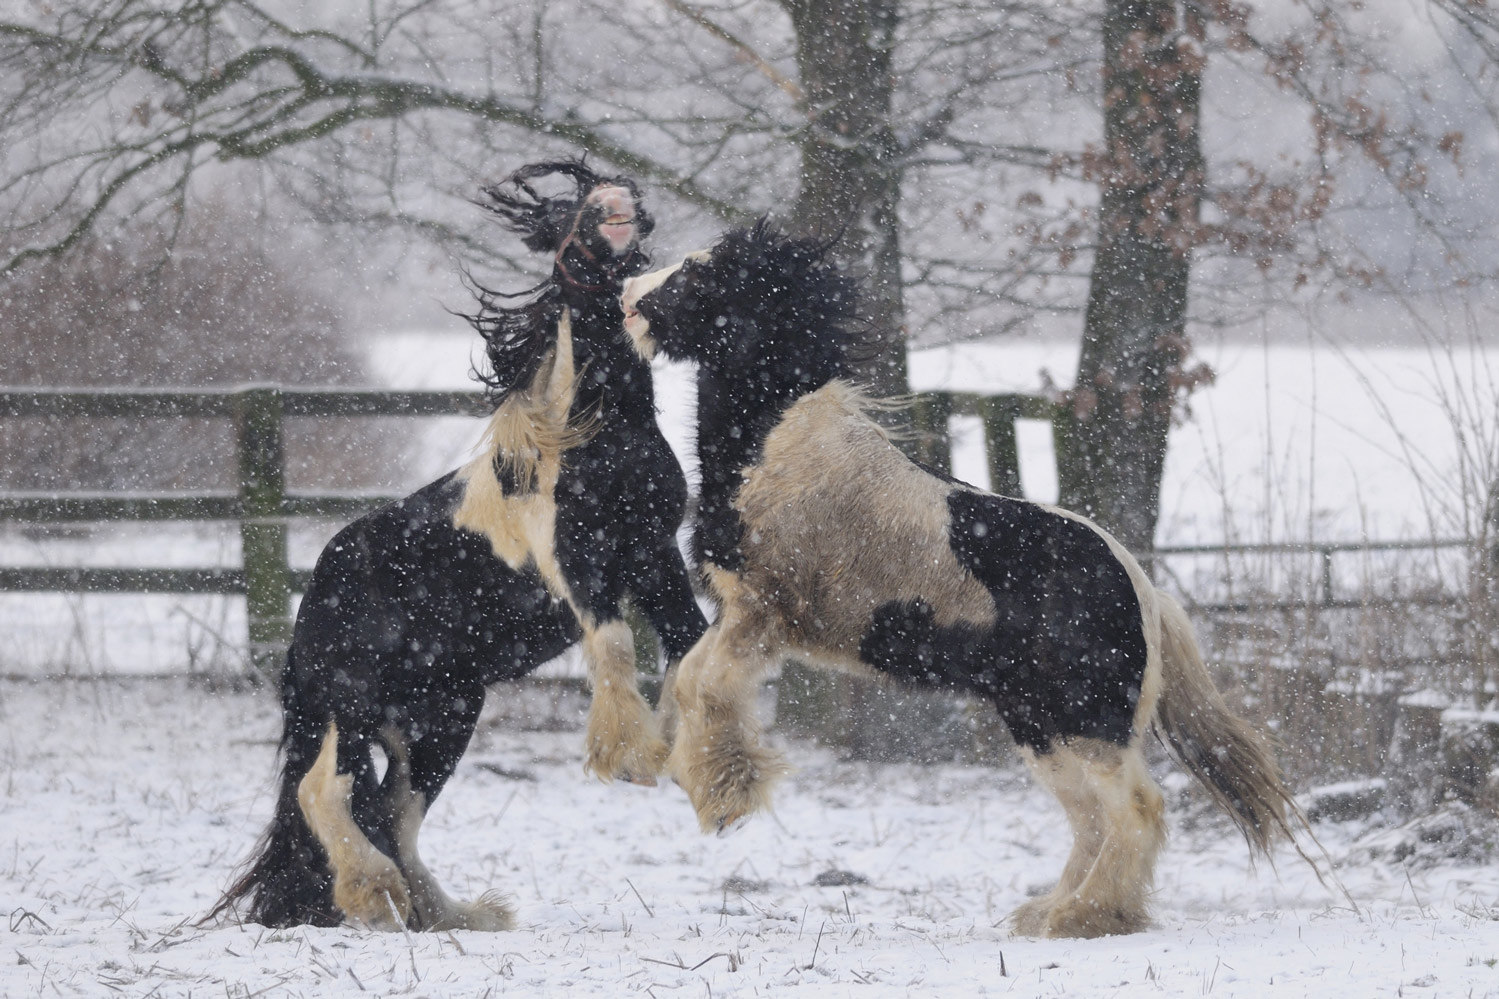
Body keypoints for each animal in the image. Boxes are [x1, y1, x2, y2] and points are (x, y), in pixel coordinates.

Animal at [211, 159, 707, 930]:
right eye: (567, 220)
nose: (612, 202)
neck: (589, 437)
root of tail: (311, 605)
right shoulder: (579, 567)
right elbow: (619, 646)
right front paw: (632, 755)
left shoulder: (654, 555)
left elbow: (688, 644)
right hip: (352, 704)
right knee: (324, 791)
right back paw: (373, 894)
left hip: (442, 715)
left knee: (394, 811)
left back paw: (447, 913)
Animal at [617, 223, 1301, 936]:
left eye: (700, 273)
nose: (627, 296)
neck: (781, 448)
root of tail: (1144, 589)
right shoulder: (742, 617)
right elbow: (687, 678)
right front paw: (691, 776)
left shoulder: (761, 615)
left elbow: (701, 684)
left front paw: (725, 796)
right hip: (1037, 725)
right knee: (1090, 818)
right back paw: (1051, 912)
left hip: (1084, 722)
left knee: (1137, 808)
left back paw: (1085, 916)